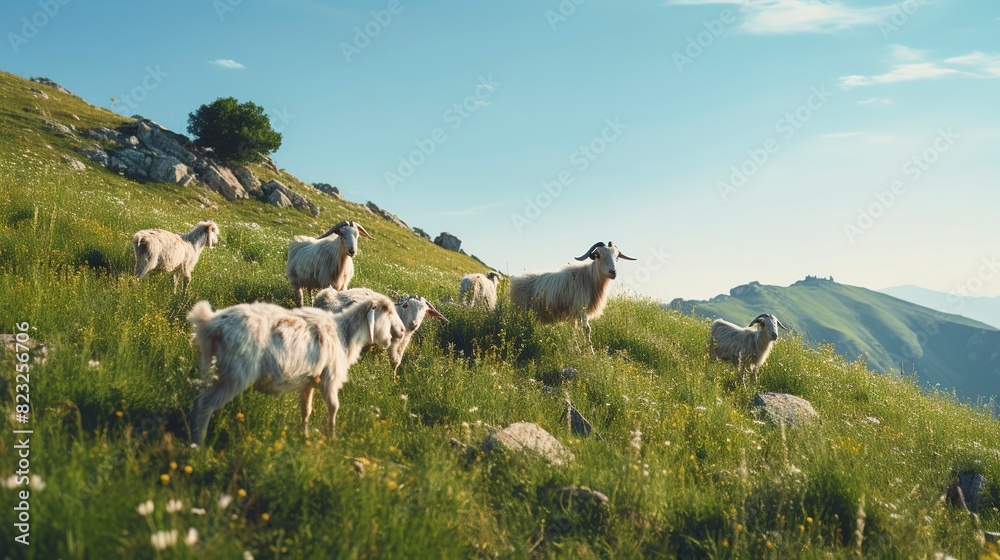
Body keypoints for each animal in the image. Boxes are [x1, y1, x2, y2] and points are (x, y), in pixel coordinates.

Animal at [186, 293, 405, 445]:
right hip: (234, 375)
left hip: (218, 370)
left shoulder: (308, 381)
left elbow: (306, 410)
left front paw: (304, 435)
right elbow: (333, 407)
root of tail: (211, 324)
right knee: (204, 404)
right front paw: (331, 437)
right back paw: (198, 445)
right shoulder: (330, 379)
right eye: (389, 311)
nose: (402, 331)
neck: (345, 334)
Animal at [314, 288, 448, 373]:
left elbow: (398, 360)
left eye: (424, 311)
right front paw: (392, 379)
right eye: (407, 306)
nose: (413, 324)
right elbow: (395, 361)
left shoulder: (403, 343)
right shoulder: (393, 343)